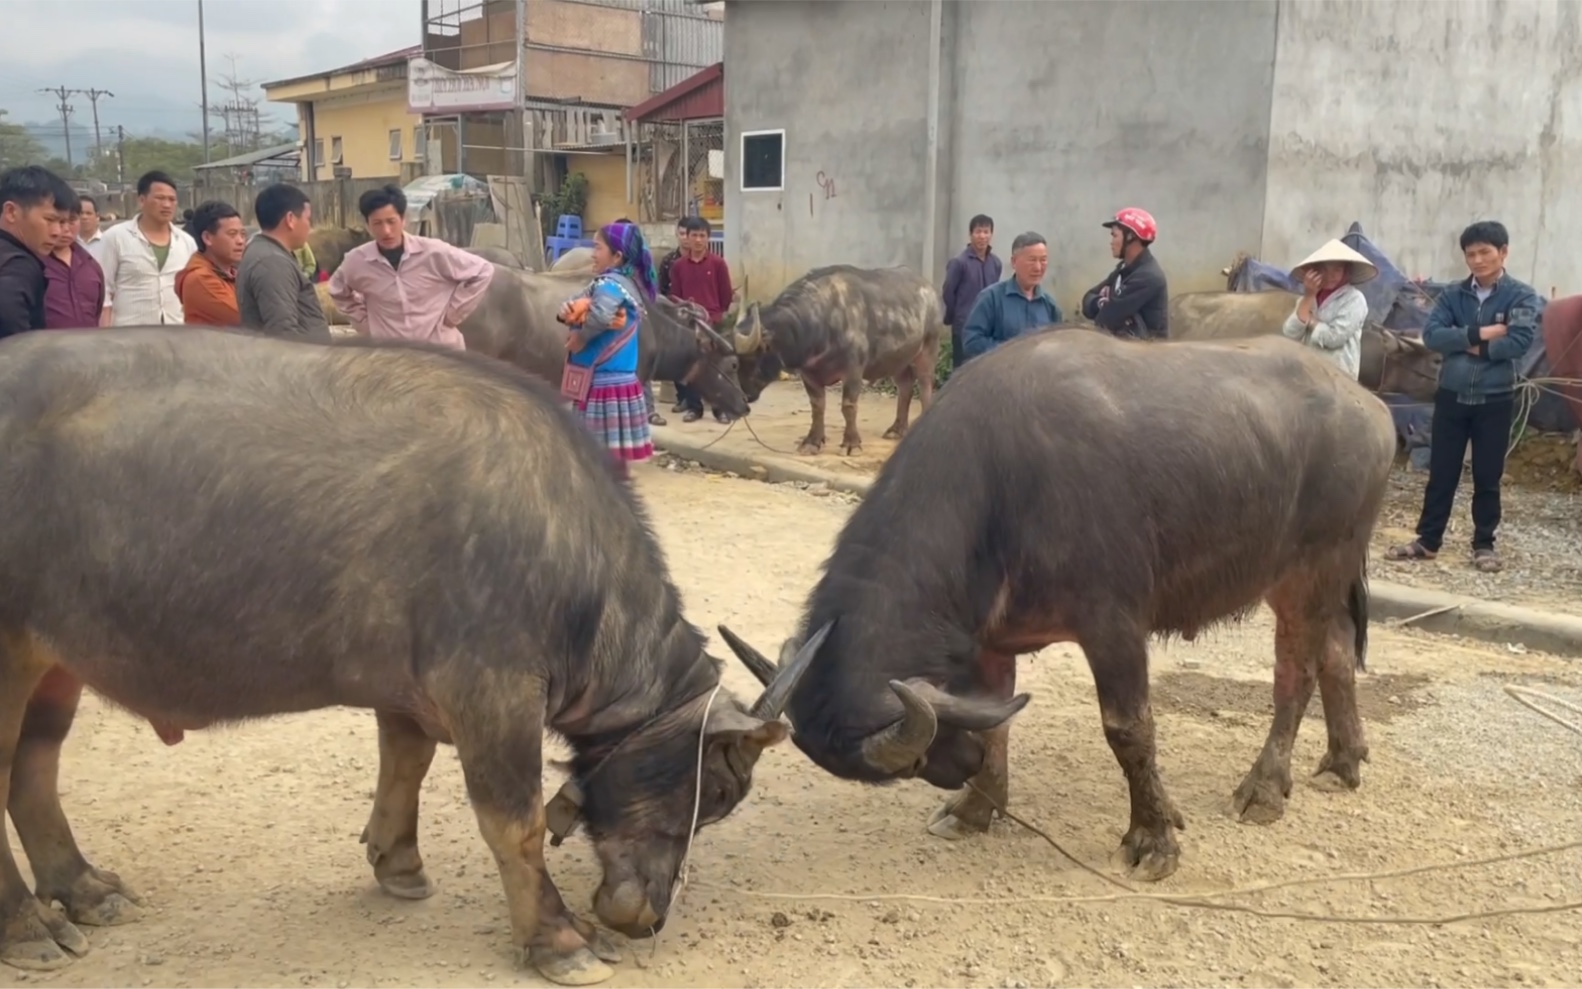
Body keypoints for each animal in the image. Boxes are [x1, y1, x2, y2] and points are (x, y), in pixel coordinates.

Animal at [718, 327, 1398, 886]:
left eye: (911, 762)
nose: (959, 766)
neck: (1002, 485)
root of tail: (1372, 408)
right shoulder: (989, 639)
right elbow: (997, 716)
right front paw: (977, 806)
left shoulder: (1114, 624)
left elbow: (1129, 730)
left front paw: (1152, 837)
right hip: (1307, 579)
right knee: (1338, 653)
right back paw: (1344, 758)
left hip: (1313, 570)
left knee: (1297, 672)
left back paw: (1264, 788)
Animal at [734, 265, 942, 458]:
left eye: (750, 358)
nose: (742, 395)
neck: (822, 323)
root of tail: (930, 289)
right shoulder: (809, 374)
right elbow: (817, 406)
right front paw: (812, 441)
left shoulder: (853, 371)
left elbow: (848, 406)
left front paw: (851, 444)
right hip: (898, 359)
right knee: (905, 387)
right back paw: (896, 429)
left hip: (928, 349)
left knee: (925, 385)